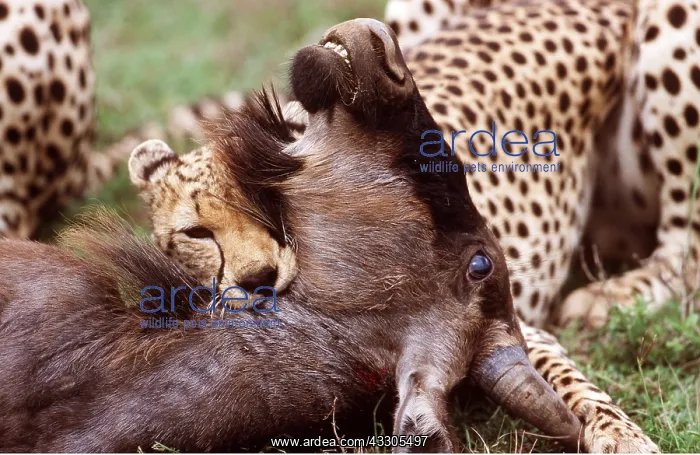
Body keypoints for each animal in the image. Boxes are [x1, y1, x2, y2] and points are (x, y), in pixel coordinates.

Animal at [123, 0, 700, 450]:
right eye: (197, 234)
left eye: (269, 201)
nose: (258, 279)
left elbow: (568, 384)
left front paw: (621, 435)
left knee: (685, 245)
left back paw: (607, 298)